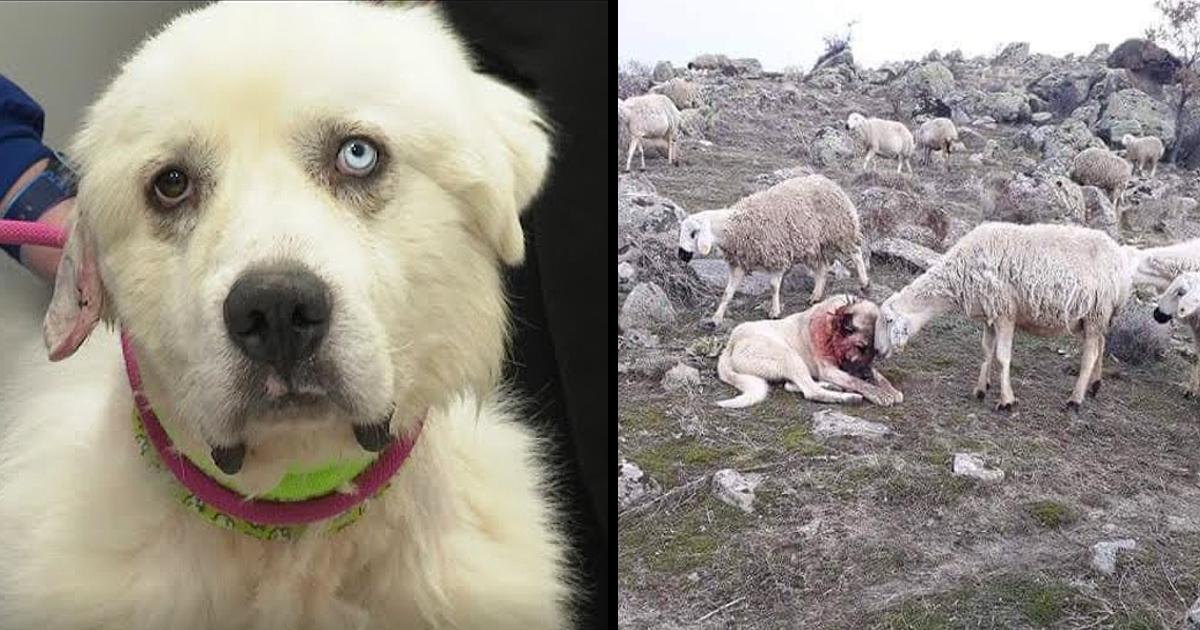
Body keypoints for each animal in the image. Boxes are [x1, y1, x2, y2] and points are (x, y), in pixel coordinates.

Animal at [676, 174, 873, 326]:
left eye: (693, 234)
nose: (681, 255)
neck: (736, 226)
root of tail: (829, 182)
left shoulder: (777, 255)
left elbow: (773, 286)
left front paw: (775, 311)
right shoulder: (739, 263)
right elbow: (727, 292)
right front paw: (716, 317)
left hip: (841, 231)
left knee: (856, 254)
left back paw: (864, 282)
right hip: (814, 244)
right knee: (822, 268)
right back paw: (816, 295)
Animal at [710, 295, 902, 408]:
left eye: (875, 351)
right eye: (860, 347)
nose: (866, 375)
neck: (831, 329)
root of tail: (730, 343)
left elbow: (878, 376)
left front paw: (889, 389)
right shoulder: (830, 370)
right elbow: (856, 381)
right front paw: (877, 393)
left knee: (793, 385)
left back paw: (833, 387)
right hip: (789, 356)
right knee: (810, 391)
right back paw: (847, 397)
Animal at [873, 219, 1132, 408]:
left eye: (888, 320)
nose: (876, 350)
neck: (958, 272)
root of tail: (1120, 259)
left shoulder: (1005, 313)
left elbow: (1002, 356)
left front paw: (1006, 400)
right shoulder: (989, 315)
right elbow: (986, 352)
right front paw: (980, 389)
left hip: (1096, 313)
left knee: (1090, 355)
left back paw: (1075, 399)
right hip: (1094, 317)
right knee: (1101, 345)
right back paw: (1095, 385)